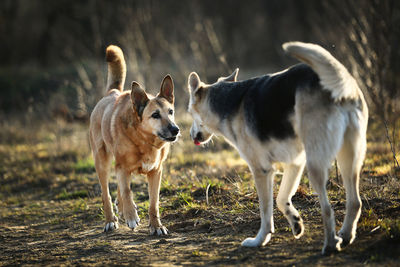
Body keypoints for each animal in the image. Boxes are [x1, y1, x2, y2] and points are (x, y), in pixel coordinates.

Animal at [90, 45, 180, 236]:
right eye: (155, 115)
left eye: (171, 112)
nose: (175, 129)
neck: (144, 140)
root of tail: (112, 92)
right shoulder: (123, 167)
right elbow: (126, 191)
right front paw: (131, 216)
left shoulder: (156, 172)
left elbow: (154, 203)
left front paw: (156, 226)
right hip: (102, 161)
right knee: (106, 194)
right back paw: (110, 221)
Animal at [188, 42, 368, 255]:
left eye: (189, 113)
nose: (190, 135)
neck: (227, 101)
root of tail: (341, 84)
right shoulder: (294, 163)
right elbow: (282, 199)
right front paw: (296, 222)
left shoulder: (261, 170)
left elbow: (265, 211)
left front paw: (260, 240)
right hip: (348, 158)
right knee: (355, 202)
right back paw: (345, 236)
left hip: (316, 164)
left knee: (327, 208)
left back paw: (331, 245)